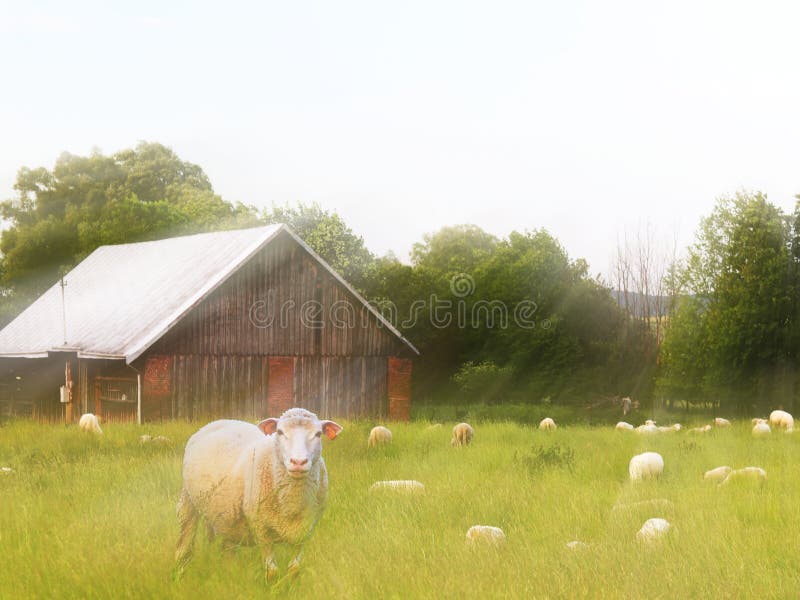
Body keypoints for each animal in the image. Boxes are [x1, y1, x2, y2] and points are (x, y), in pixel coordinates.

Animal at [177, 406, 342, 580]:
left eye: (318, 434)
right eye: (280, 432)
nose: (298, 462)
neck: (292, 504)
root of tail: (219, 421)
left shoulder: (305, 531)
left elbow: (294, 570)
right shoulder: (262, 529)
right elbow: (272, 572)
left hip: (228, 517)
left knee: (228, 551)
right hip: (188, 500)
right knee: (184, 543)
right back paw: (179, 571)